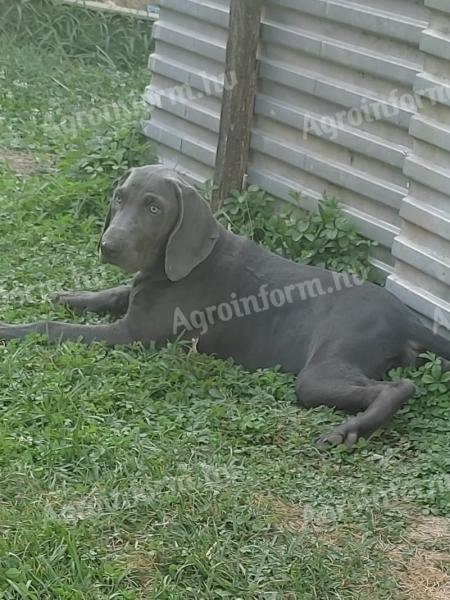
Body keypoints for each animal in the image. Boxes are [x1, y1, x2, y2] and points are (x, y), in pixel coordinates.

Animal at [0, 164, 450, 446]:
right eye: (119, 198)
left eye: (154, 208)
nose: (108, 246)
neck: (177, 261)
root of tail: (406, 317)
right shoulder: (138, 296)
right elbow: (112, 293)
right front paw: (70, 296)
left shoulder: (133, 335)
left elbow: (53, 328)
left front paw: (12, 328)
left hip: (322, 369)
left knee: (398, 387)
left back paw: (349, 430)